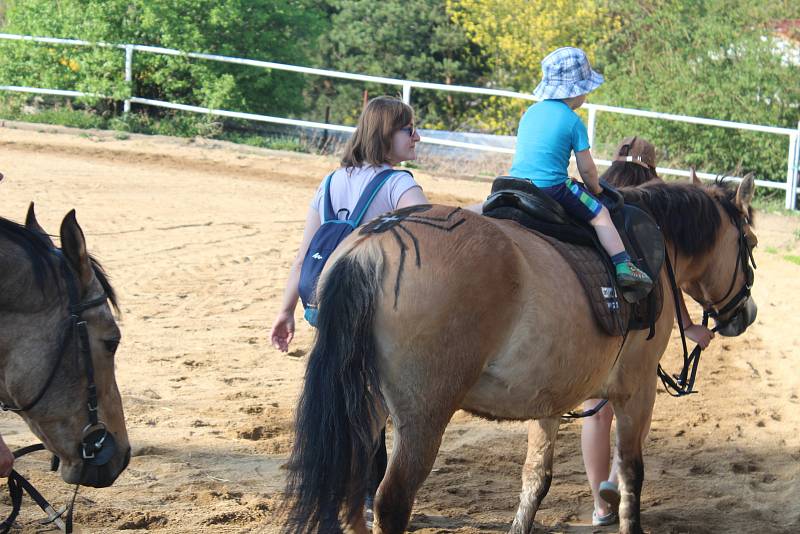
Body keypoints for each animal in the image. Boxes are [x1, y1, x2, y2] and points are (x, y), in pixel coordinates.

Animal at [286, 177, 756, 534]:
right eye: (749, 242)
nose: (746, 313)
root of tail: (380, 239)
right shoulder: (637, 393)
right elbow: (630, 472)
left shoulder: (549, 398)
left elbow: (536, 478)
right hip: (423, 417)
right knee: (391, 502)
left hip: (365, 405)